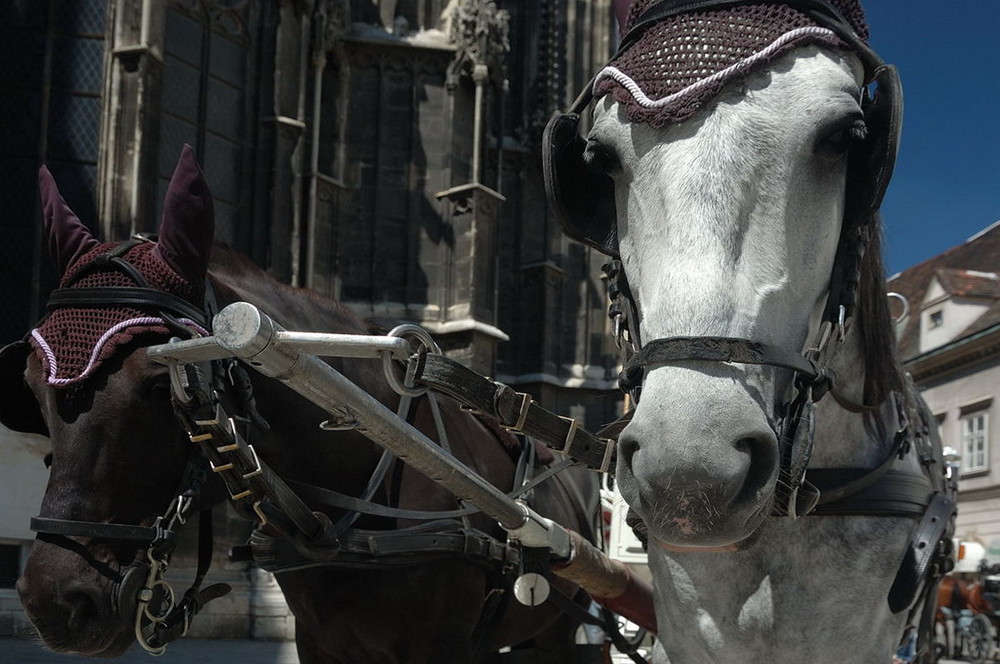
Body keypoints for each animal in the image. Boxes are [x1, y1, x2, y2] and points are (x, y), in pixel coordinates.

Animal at [3, 148, 596, 660]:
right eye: (30, 385)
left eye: (158, 384)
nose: (55, 601)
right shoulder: (319, 644)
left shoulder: (440, 649)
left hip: (556, 633)